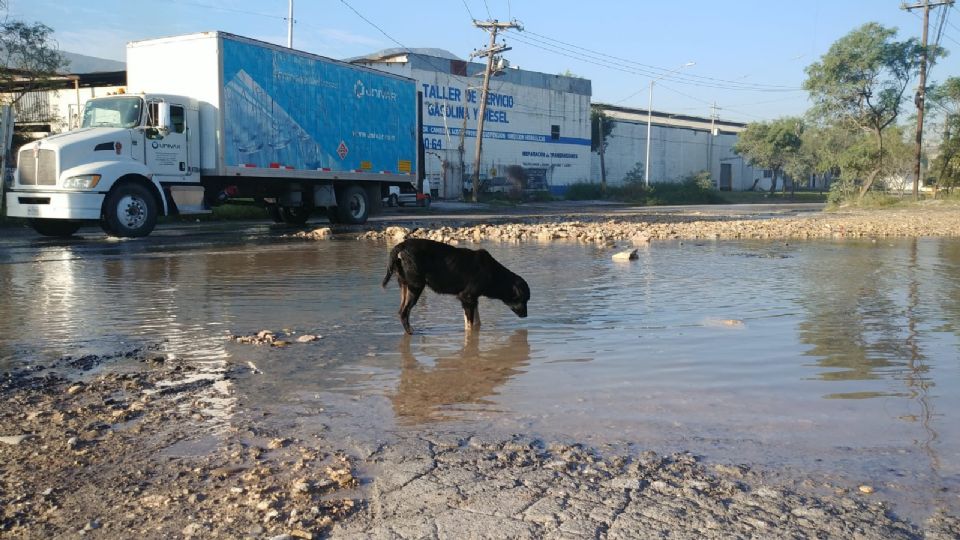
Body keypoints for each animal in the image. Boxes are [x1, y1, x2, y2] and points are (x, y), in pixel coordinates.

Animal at [382, 239, 532, 334]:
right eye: (523, 299)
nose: (525, 315)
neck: (494, 275)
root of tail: (401, 246)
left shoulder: (473, 300)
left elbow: (476, 323)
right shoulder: (467, 297)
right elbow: (470, 325)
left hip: (405, 285)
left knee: (401, 312)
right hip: (416, 286)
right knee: (404, 312)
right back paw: (411, 332)